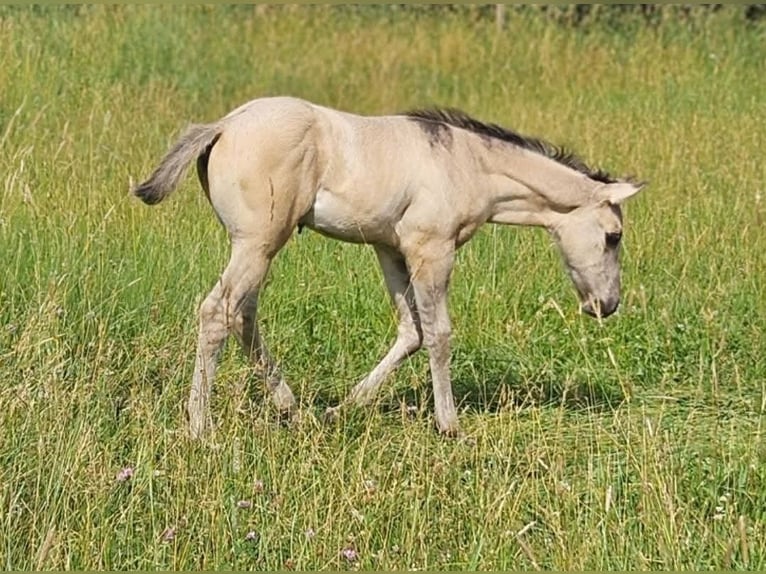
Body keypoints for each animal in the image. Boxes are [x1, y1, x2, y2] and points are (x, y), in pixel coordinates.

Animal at [133, 96, 644, 438]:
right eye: (614, 236)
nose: (607, 304)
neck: (466, 163)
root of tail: (224, 124)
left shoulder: (390, 250)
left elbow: (411, 331)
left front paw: (345, 407)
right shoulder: (432, 250)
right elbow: (438, 333)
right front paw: (449, 424)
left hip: (256, 250)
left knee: (243, 315)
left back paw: (293, 409)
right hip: (257, 244)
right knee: (217, 312)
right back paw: (200, 427)